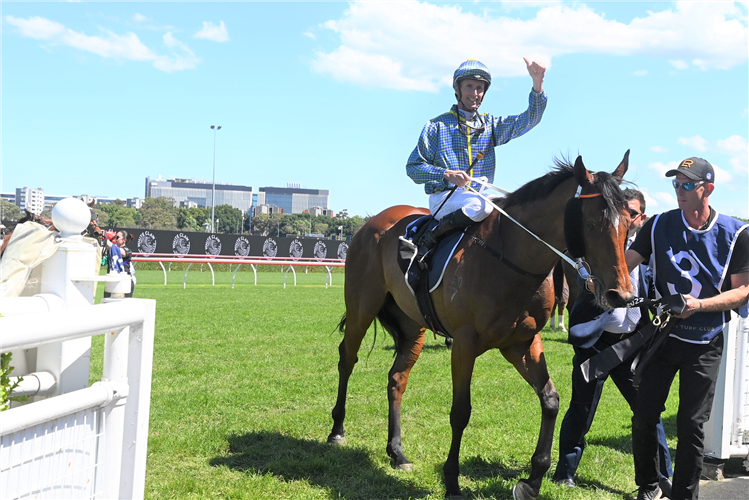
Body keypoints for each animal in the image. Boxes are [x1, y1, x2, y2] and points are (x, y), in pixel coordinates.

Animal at [326, 152, 632, 500]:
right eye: (592, 224)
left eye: (628, 224)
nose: (620, 294)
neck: (510, 258)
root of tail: (374, 222)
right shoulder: (464, 343)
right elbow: (461, 411)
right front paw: (452, 482)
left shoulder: (522, 343)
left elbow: (551, 400)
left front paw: (532, 480)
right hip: (362, 306)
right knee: (347, 359)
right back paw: (337, 430)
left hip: (412, 325)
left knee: (397, 379)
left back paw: (397, 452)